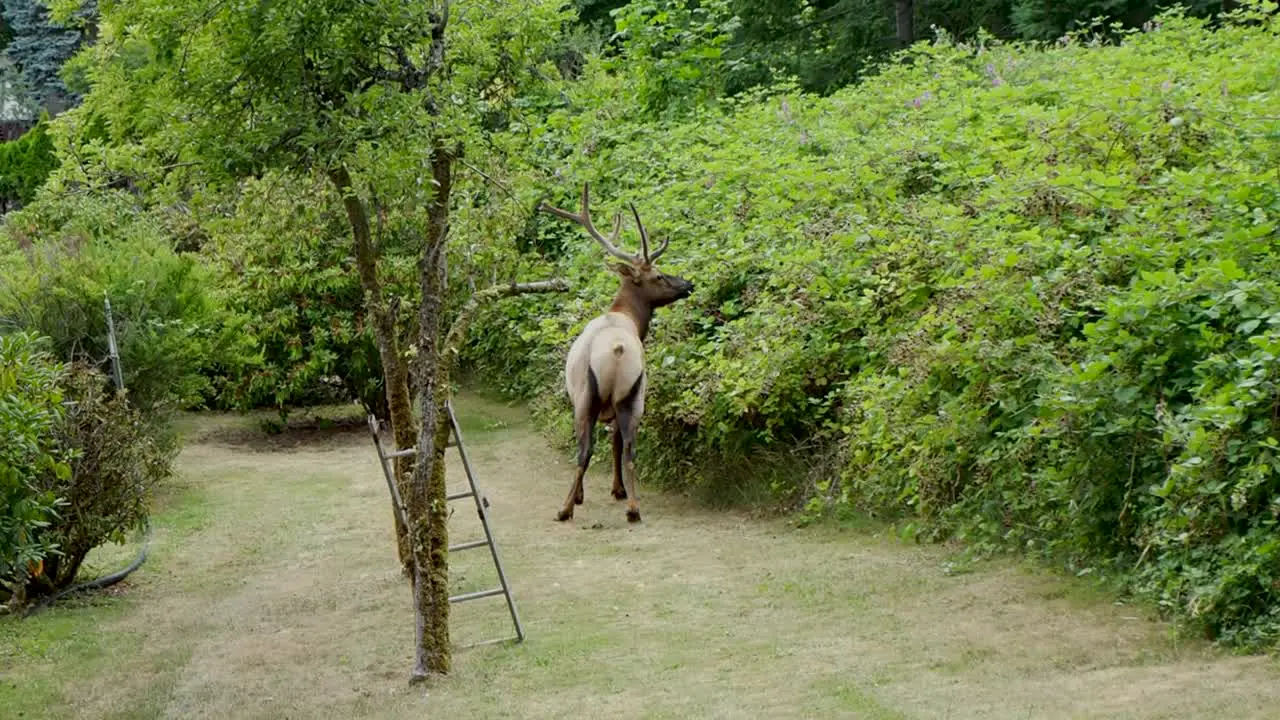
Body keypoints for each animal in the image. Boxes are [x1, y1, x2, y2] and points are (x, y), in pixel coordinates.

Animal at [542, 183, 701, 520]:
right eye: (659, 275)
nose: (688, 283)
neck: (625, 316)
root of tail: (617, 350)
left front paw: (597, 493)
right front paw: (617, 490)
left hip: (590, 395)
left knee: (587, 448)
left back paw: (566, 508)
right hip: (633, 393)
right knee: (629, 446)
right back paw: (633, 507)